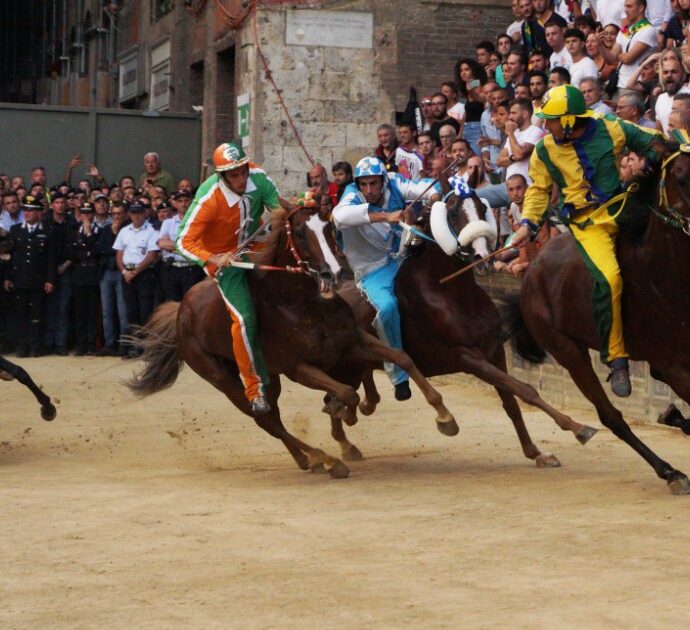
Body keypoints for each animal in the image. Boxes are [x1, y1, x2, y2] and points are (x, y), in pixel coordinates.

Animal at [126, 206, 456, 478]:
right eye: (298, 232)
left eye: (329, 226)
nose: (334, 272)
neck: (302, 305)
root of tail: (182, 308)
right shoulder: (298, 367)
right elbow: (347, 392)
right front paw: (341, 412)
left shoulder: (351, 341)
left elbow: (402, 359)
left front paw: (445, 417)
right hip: (223, 378)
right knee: (265, 419)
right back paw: (325, 459)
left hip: (269, 378)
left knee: (274, 417)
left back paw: (307, 459)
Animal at [328, 193, 596, 470]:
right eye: (454, 213)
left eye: (481, 208)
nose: (481, 258)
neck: (449, 292)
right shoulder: (468, 358)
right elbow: (524, 390)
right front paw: (578, 428)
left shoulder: (494, 351)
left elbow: (511, 402)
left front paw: (536, 452)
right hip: (343, 366)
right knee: (335, 396)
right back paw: (346, 441)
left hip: (353, 367)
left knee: (342, 395)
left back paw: (354, 421)